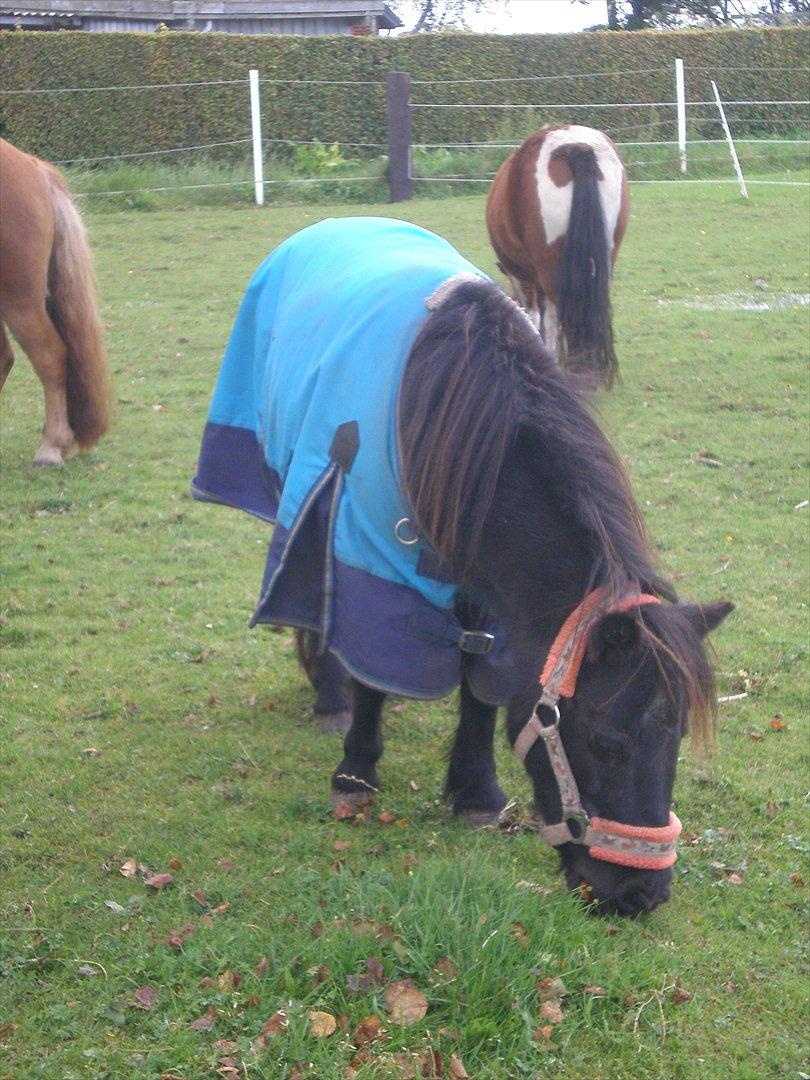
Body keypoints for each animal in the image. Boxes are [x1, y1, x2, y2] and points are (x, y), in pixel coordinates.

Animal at [193, 217, 732, 917]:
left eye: (680, 736)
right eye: (608, 741)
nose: (643, 894)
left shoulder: (488, 593)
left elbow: (480, 682)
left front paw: (475, 790)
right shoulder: (370, 546)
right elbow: (374, 665)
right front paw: (355, 771)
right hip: (301, 487)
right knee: (315, 597)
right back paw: (331, 695)